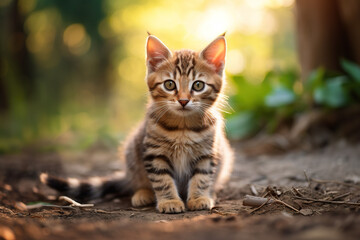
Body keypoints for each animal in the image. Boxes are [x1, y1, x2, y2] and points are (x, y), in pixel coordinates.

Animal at [40, 33, 235, 214]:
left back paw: (211, 194)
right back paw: (143, 193)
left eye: (198, 85)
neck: (183, 127)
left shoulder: (207, 154)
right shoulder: (154, 153)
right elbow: (162, 179)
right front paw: (169, 201)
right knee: (139, 180)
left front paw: (199, 197)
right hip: (132, 150)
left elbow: (202, 177)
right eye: (170, 84)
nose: (183, 101)